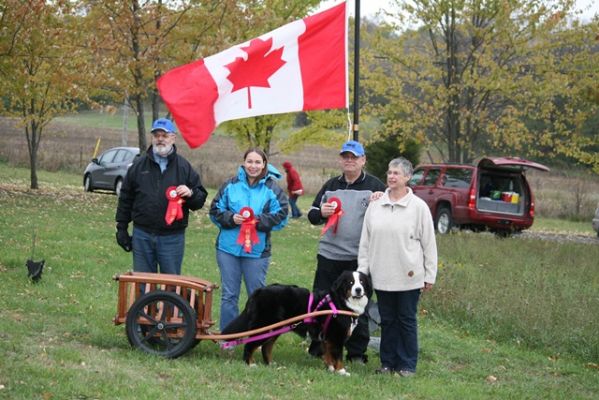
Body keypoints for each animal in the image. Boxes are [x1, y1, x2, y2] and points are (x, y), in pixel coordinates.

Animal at [220, 270, 370, 376]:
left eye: (362, 282)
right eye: (350, 282)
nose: (358, 290)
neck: (341, 302)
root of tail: (259, 290)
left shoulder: (327, 338)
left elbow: (328, 354)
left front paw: (330, 369)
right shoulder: (336, 336)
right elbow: (338, 356)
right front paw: (341, 371)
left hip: (275, 328)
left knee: (266, 347)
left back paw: (270, 364)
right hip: (264, 326)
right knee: (250, 345)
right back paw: (250, 364)